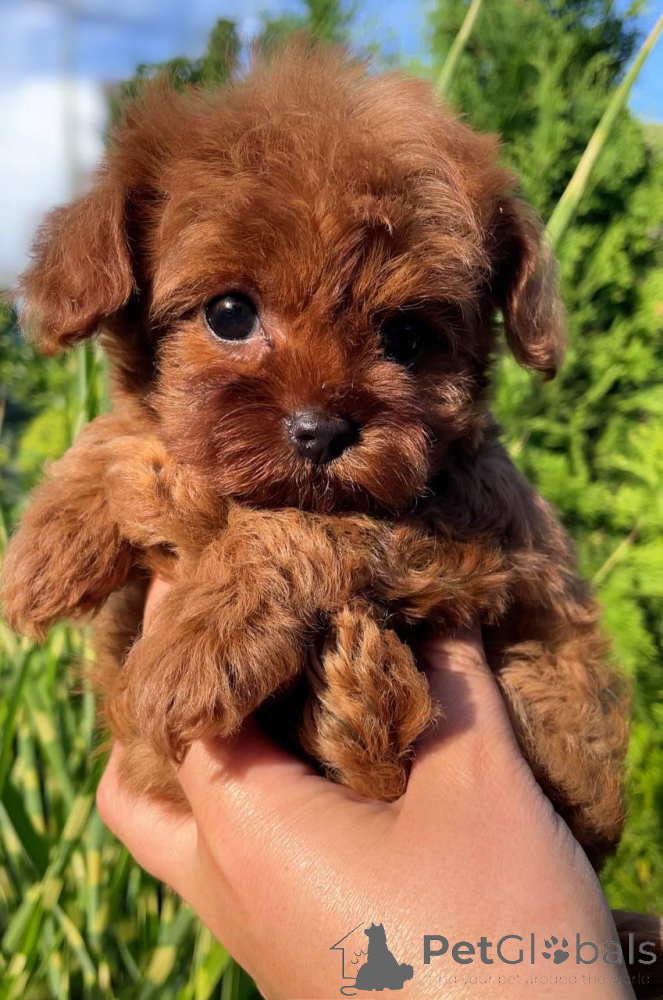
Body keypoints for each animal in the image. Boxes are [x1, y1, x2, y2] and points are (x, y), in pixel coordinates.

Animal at [0, 40, 641, 871]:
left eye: (406, 336)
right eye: (229, 314)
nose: (322, 431)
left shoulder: (471, 536)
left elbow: (307, 526)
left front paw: (203, 637)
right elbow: (133, 432)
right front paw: (50, 542)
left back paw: (364, 699)